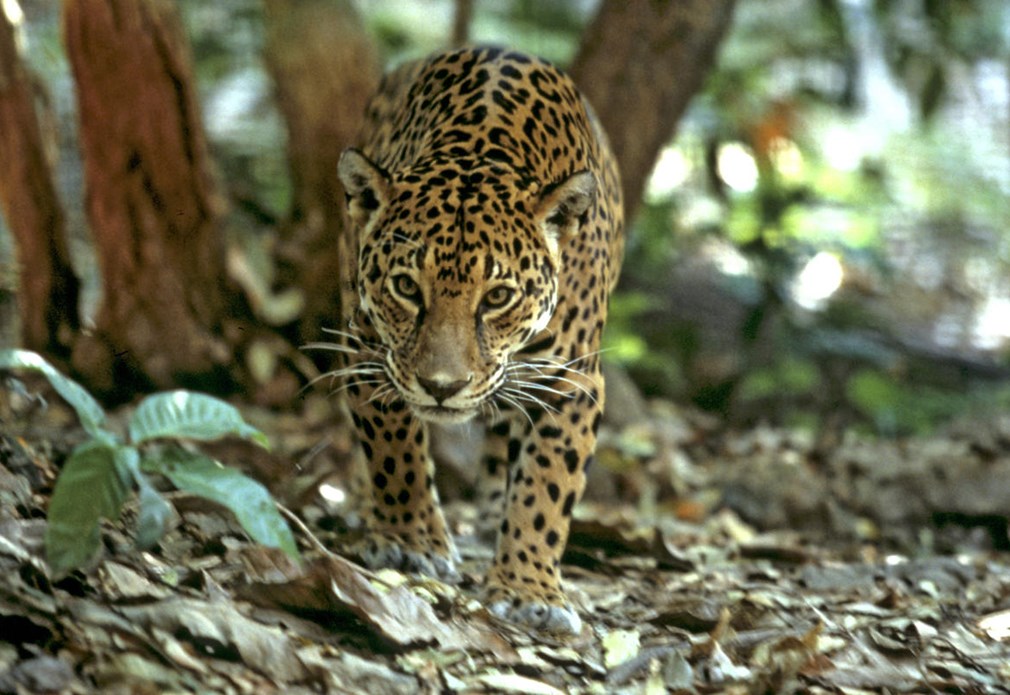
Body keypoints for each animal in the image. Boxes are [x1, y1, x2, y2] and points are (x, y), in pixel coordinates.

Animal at [331, 46, 624, 635]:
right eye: (405, 287)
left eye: (498, 297)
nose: (442, 386)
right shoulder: (370, 348)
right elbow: (394, 450)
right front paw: (410, 541)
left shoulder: (572, 380)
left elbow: (546, 484)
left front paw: (529, 587)